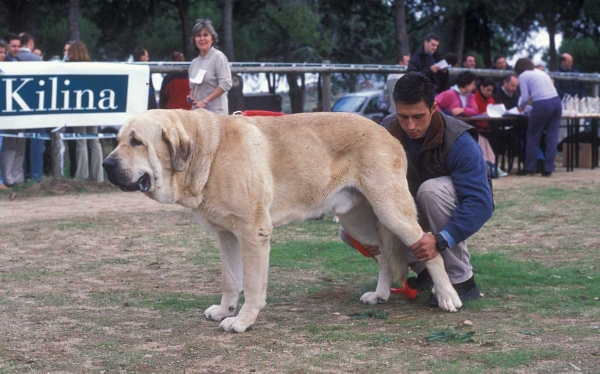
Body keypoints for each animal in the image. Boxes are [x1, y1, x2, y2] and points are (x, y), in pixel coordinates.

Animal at [103, 109, 462, 334]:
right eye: (118, 139)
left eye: (137, 142)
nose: (107, 165)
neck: (210, 153)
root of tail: (386, 132)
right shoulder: (227, 236)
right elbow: (230, 280)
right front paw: (225, 310)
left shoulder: (253, 233)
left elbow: (252, 285)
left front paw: (242, 321)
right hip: (357, 222)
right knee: (385, 255)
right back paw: (381, 294)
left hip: (392, 210)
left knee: (429, 248)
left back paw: (447, 296)